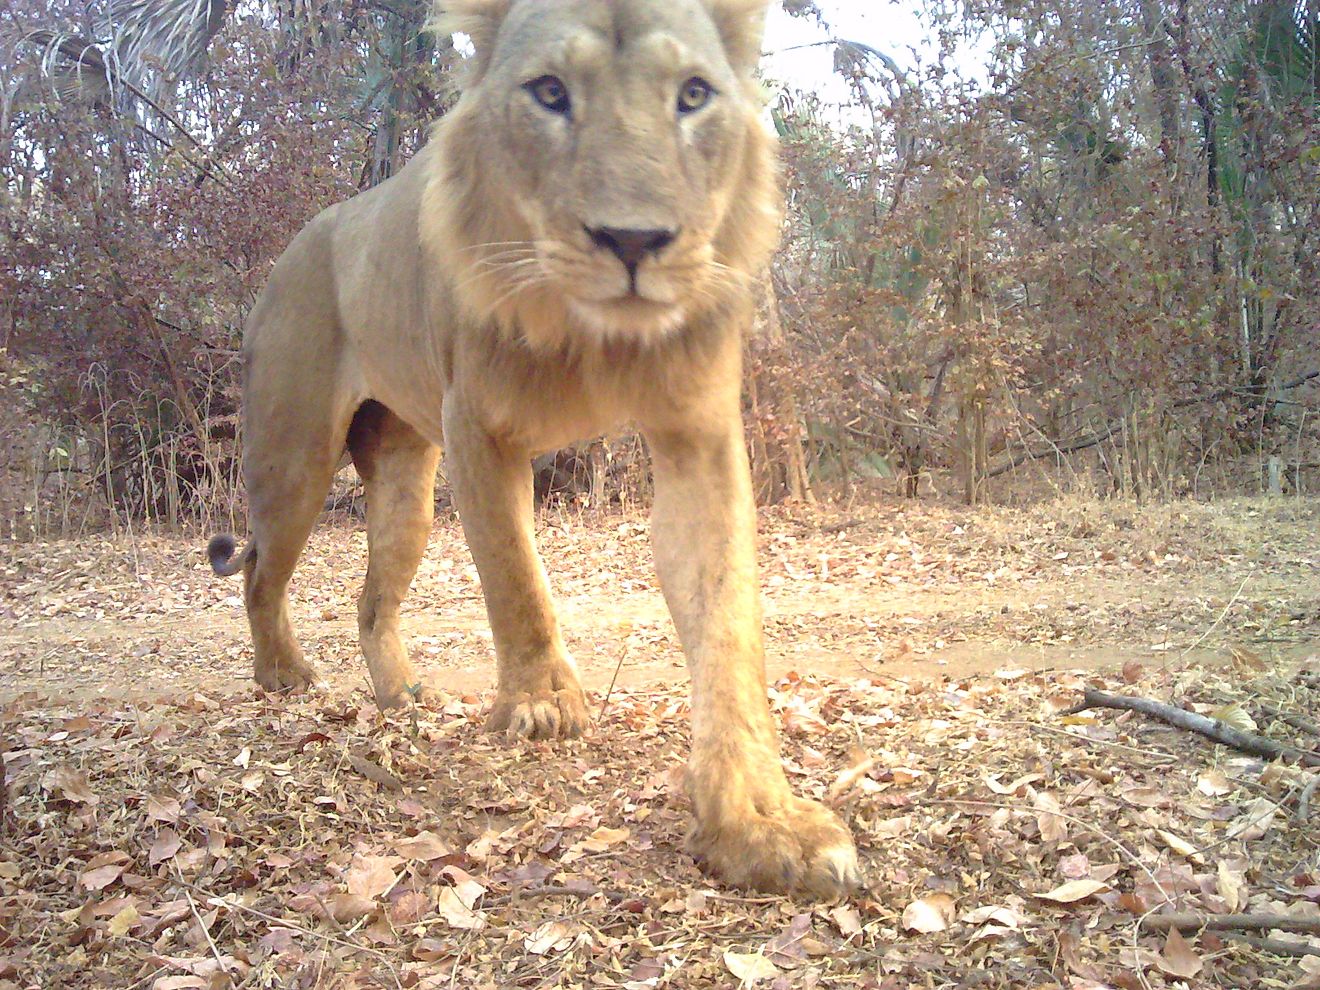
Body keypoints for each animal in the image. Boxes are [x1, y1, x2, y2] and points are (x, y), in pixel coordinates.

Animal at [208, 0, 855, 897]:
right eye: (550, 92)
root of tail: (295, 247)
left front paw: (760, 823)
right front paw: (544, 704)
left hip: (405, 483)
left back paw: (403, 697)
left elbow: (728, 628)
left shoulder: (696, 435)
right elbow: (515, 576)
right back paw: (283, 678)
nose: (633, 239)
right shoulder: (477, 426)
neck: (585, 333)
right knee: (261, 574)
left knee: (372, 599)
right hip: (294, 452)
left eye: (692, 95)